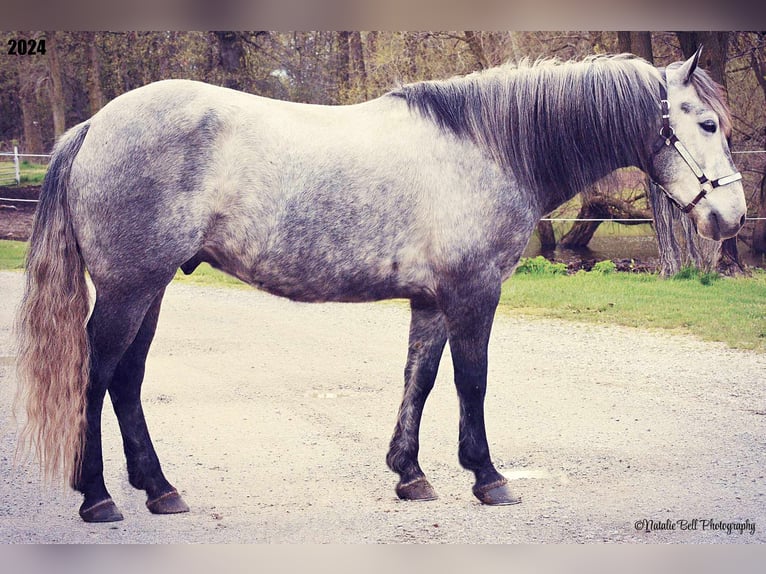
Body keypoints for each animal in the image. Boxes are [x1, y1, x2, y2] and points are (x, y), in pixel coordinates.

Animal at [16, 49, 752, 520]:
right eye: (707, 123)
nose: (731, 217)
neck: (489, 147)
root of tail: (94, 125)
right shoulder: (472, 293)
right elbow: (472, 381)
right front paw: (489, 478)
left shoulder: (431, 300)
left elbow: (418, 380)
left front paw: (411, 475)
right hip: (128, 289)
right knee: (96, 373)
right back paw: (98, 497)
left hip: (151, 289)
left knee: (127, 380)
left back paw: (159, 490)